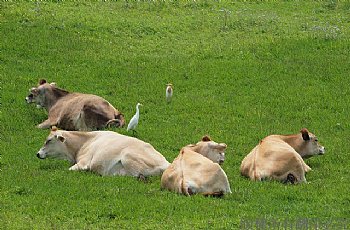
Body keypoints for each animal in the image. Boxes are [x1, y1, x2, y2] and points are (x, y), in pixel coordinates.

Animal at [36, 126, 170, 178]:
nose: (37, 153)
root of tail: (166, 163)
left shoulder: (83, 163)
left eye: (48, 140)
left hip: (128, 157)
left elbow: (69, 170)